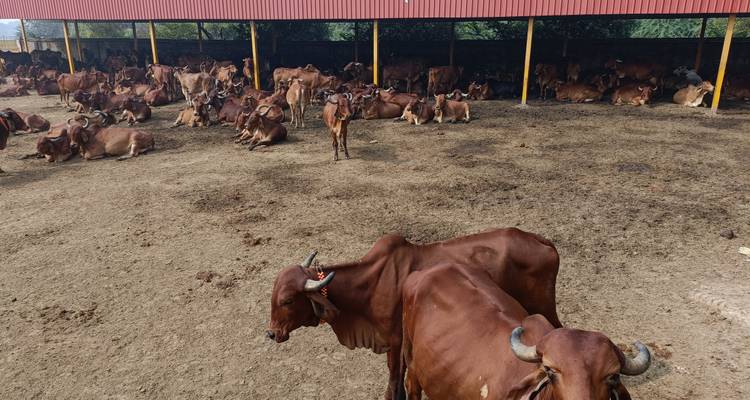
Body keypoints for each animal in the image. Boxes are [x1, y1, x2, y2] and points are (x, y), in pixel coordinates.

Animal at [267, 228, 562, 400]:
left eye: (288, 300)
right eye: (273, 294)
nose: (271, 333)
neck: (372, 282)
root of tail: (545, 242)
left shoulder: (395, 340)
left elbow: (394, 377)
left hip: (544, 306)